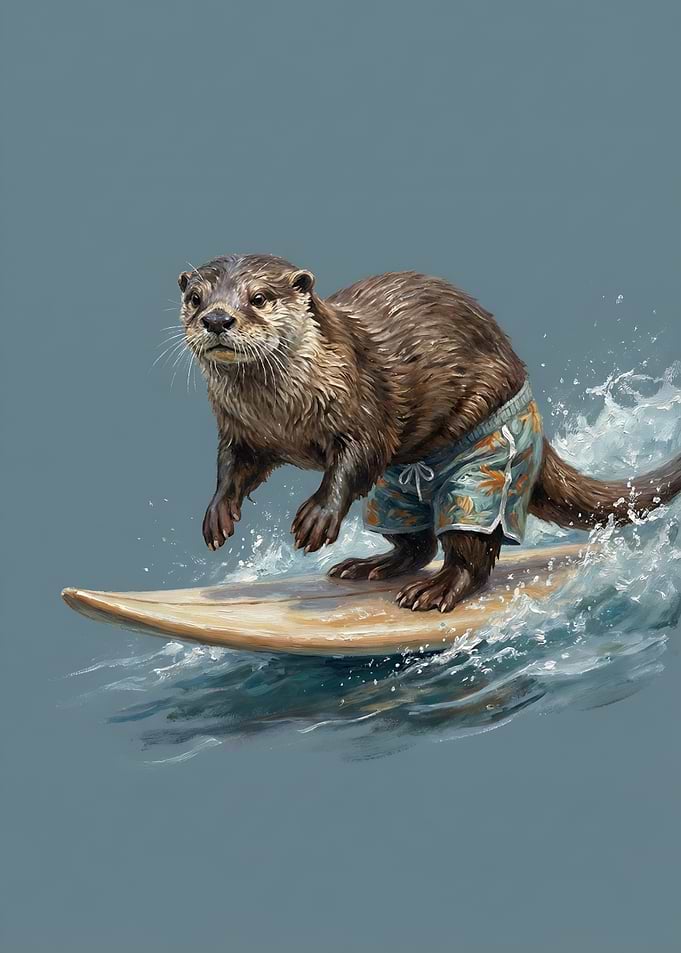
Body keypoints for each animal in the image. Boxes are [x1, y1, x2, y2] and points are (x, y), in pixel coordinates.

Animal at [177, 254, 681, 612]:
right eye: (196, 297)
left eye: (260, 297)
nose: (217, 320)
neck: (281, 414)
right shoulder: (240, 430)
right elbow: (233, 466)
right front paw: (218, 514)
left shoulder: (365, 404)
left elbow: (356, 456)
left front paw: (318, 515)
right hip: (391, 495)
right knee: (415, 542)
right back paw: (368, 567)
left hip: (487, 469)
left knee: (470, 552)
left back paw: (433, 591)